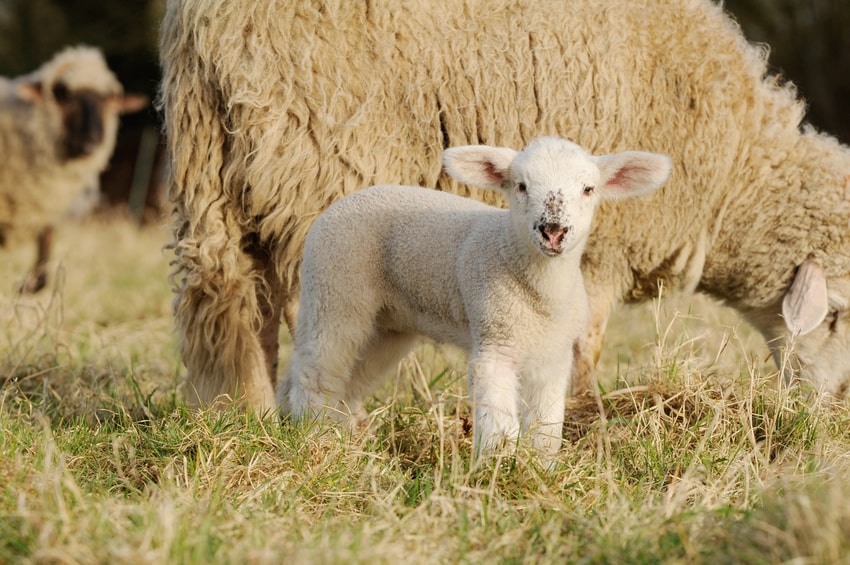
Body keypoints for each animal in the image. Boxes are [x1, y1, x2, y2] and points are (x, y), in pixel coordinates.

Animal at [157, 0, 848, 408]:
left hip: (218, 170)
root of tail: (213, 27)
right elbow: (585, 339)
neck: (734, 173)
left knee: (227, 299)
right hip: (321, 160)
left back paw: (242, 415)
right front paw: (584, 415)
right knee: (310, 312)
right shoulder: (605, 248)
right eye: (837, 316)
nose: (831, 408)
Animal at [278, 138, 668, 462]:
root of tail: (342, 203)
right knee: (316, 372)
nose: (553, 231)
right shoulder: (494, 344)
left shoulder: (554, 358)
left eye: (588, 189)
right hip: (335, 291)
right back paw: (314, 436)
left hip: (387, 326)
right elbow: (498, 424)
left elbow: (546, 430)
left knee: (337, 377)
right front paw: (501, 472)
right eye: (521, 186)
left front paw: (541, 470)